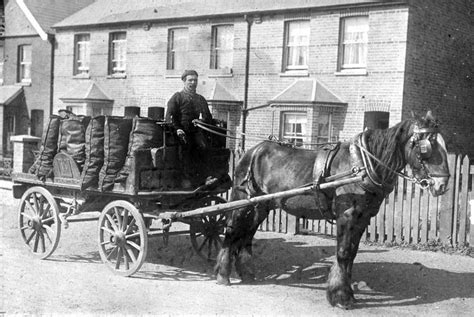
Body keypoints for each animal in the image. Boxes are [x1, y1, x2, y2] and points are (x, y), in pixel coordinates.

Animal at [215, 110, 448, 308]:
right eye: (427, 147)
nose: (442, 184)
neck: (361, 166)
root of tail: (252, 151)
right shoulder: (347, 216)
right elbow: (343, 253)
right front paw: (340, 296)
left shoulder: (362, 218)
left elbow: (351, 254)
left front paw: (347, 293)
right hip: (242, 202)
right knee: (232, 231)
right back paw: (222, 275)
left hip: (260, 206)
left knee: (246, 236)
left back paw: (246, 273)